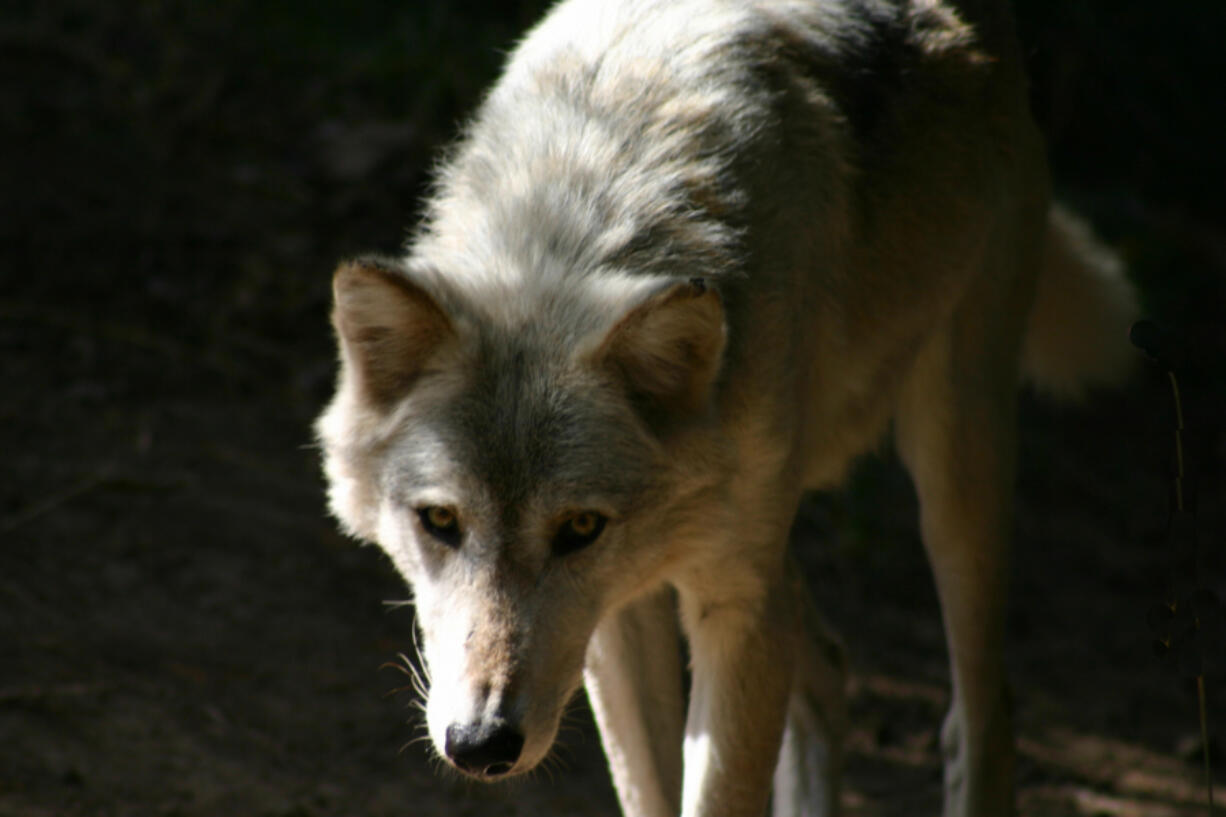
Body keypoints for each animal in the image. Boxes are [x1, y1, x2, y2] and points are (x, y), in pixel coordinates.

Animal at [316, 1, 1137, 814]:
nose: (482, 743)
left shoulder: (736, 608)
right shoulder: (625, 619)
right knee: (832, 667)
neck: (588, 209)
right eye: (440, 521)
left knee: (979, 720)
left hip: (951, 465)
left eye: (579, 529)